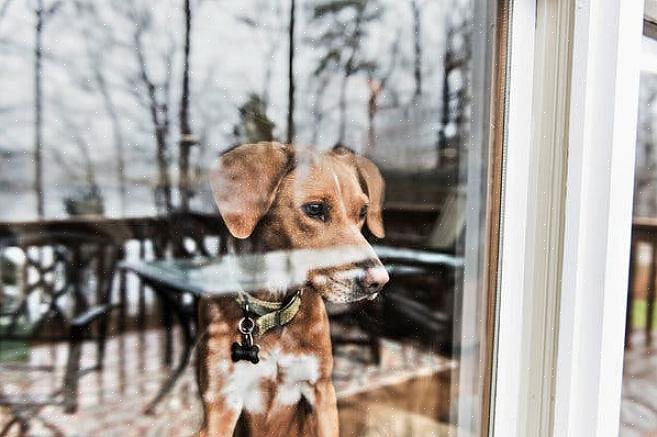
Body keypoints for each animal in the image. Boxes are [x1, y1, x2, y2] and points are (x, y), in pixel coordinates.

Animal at [197, 143, 386, 436]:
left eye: (363, 212)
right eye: (315, 208)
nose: (380, 280)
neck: (272, 311)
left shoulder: (321, 392)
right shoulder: (222, 403)